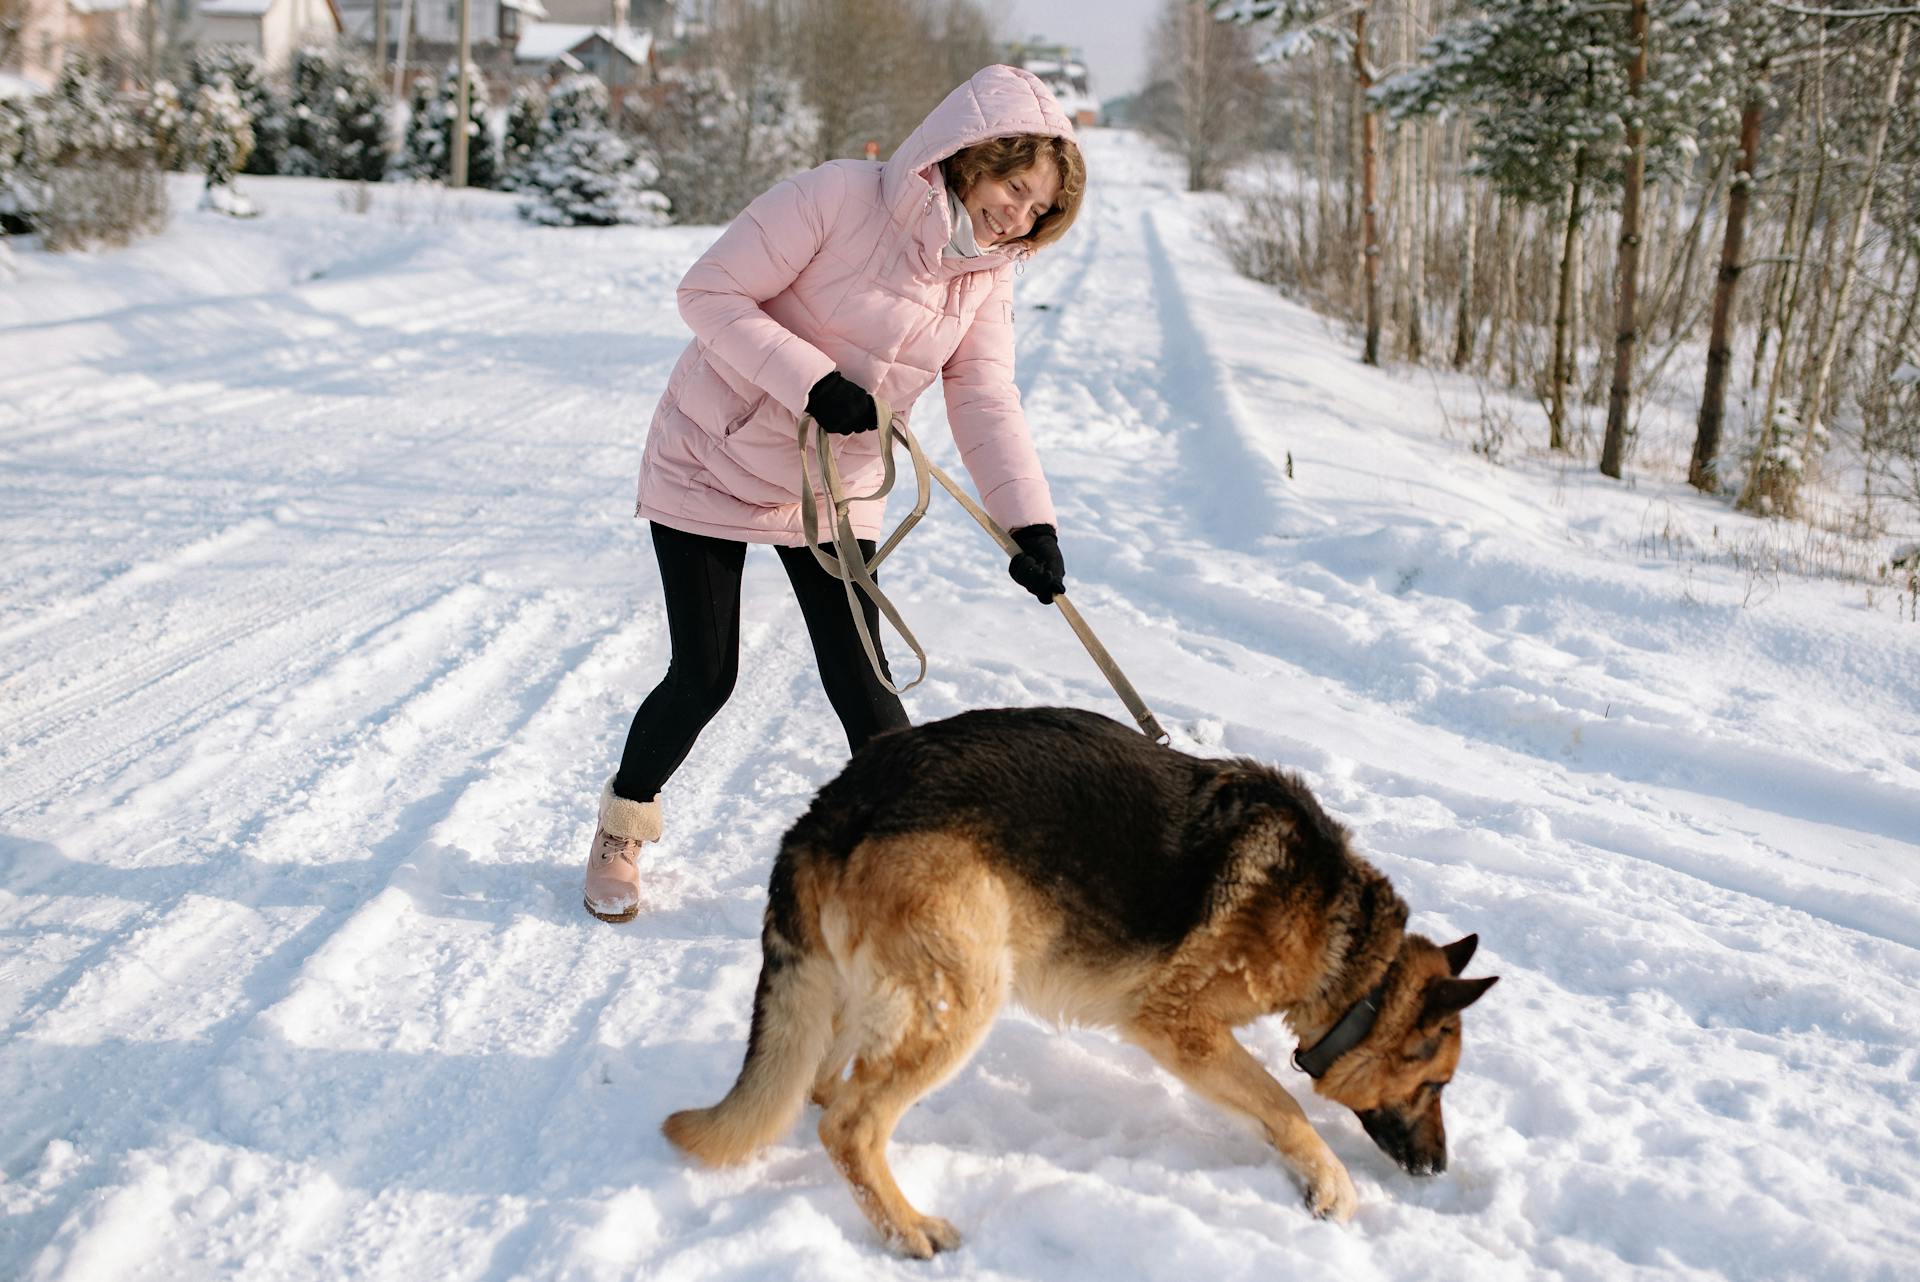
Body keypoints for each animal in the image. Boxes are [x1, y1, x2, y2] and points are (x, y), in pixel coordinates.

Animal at [664, 706, 1497, 1258]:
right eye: (1437, 1086)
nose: (1437, 1168)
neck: (1355, 954)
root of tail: (832, 807)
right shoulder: (1179, 1027)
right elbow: (1282, 1105)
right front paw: (1329, 1186)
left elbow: (1272, 1108)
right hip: (963, 998)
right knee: (851, 1125)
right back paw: (910, 1229)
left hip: (862, 997)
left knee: (822, 1089)